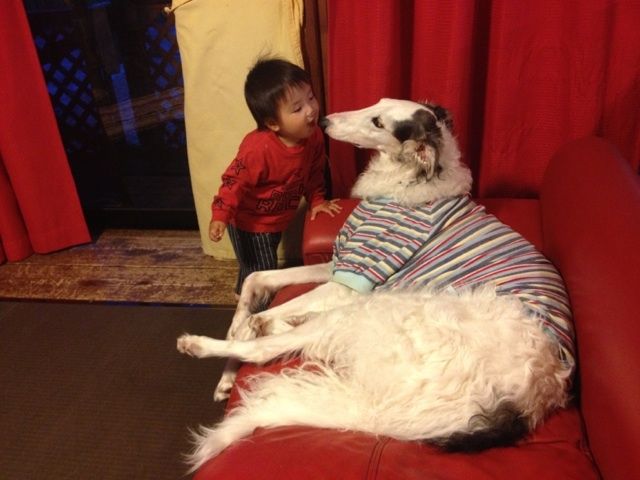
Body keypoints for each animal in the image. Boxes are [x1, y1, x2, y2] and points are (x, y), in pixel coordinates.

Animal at [177, 99, 575, 471]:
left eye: (378, 122)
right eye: (377, 105)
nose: (324, 122)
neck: (411, 182)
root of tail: (535, 396)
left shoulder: (352, 283)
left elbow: (255, 321)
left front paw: (234, 348)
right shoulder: (338, 264)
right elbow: (256, 279)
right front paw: (227, 374)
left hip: (380, 309)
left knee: (270, 346)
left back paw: (200, 343)